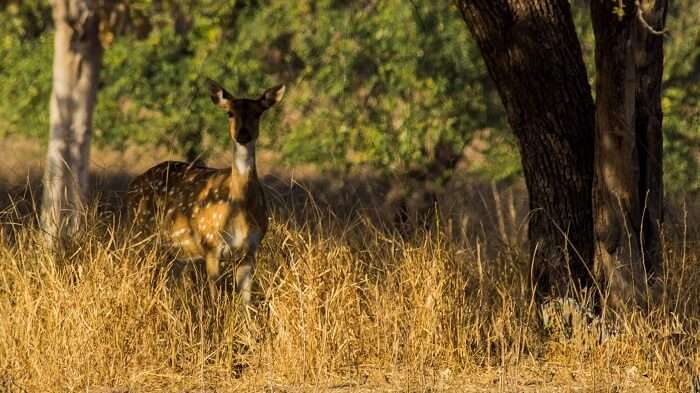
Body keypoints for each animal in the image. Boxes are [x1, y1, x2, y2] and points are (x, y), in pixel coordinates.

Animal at [127, 77, 286, 304]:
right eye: (230, 113)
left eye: (257, 113)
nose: (243, 134)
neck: (239, 207)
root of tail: (133, 185)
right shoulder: (211, 245)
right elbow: (215, 299)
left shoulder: (250, 250)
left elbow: (246, 303)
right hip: (140, 233)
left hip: (176, 250)